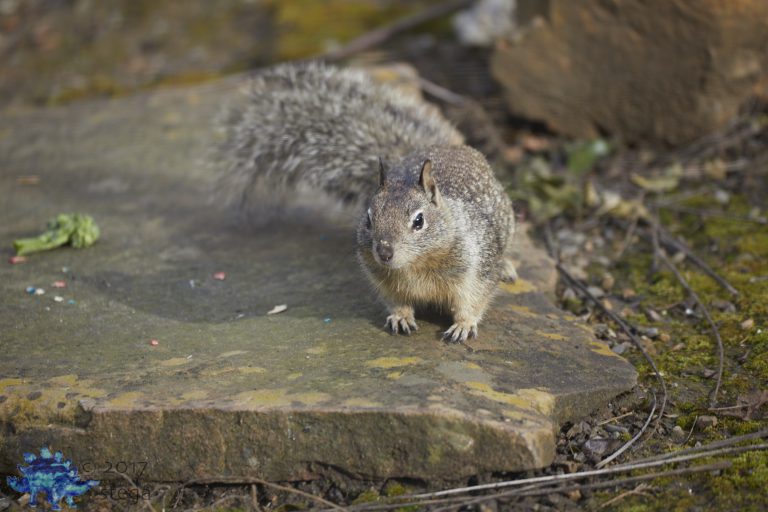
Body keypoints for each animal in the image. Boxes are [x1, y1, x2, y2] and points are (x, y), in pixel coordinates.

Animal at [215, 62, 517, 342]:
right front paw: (400, 317)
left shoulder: (476, 270)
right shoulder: (384, 281)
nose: (384, 252)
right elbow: (396, 301)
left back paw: (508, 266)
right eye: (369, 218)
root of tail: (445, 146)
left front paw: (463, 325)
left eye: (419, 221)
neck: (414, 265)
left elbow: (473, 301)